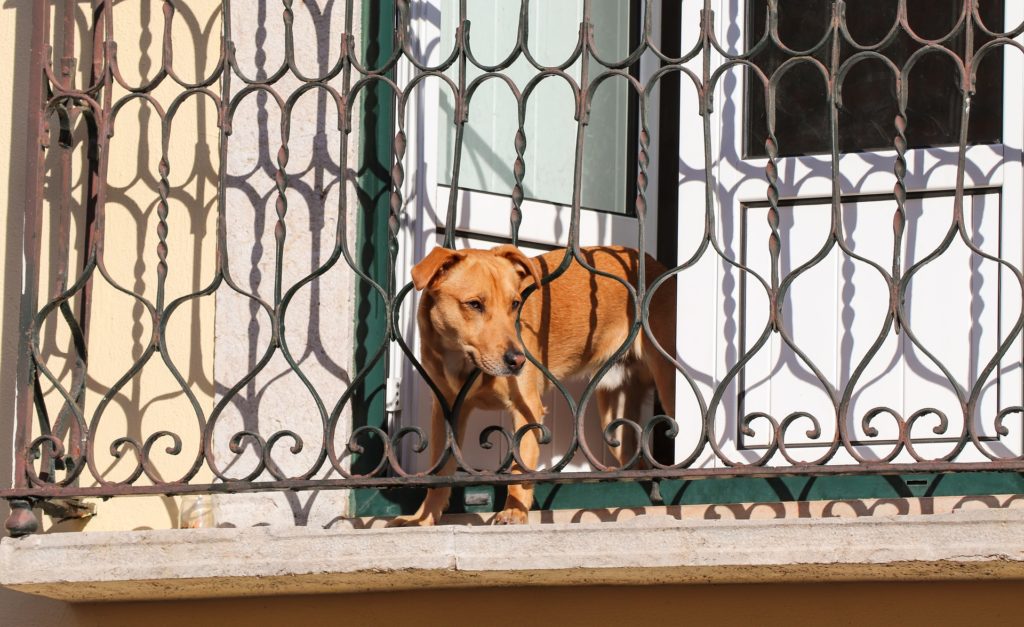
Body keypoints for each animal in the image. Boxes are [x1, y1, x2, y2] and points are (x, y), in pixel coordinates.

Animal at [387, 242, 675, 524]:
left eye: (515, 303)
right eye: (474, 304)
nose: (518, 360)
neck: (462, 360)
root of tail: (655, 264)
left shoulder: (527, 409)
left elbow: (520, 466)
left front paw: (514, 511)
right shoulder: (446, 411)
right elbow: (439, 473)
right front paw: (423, 519)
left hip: (667, 386)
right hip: (614, 415)